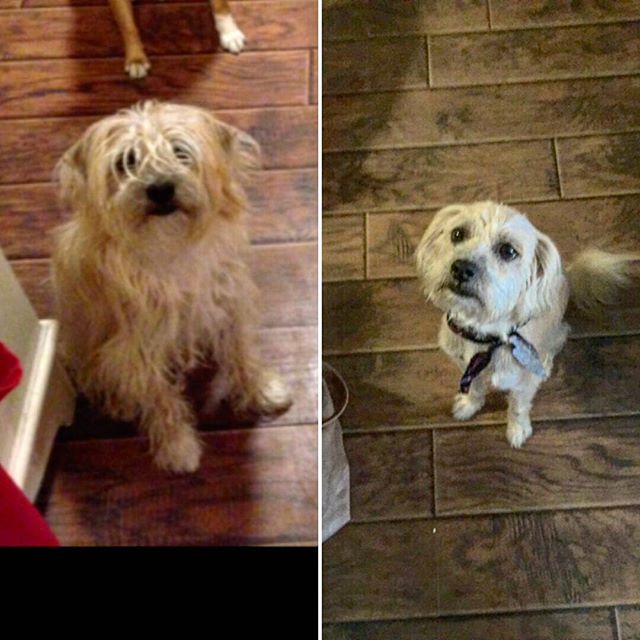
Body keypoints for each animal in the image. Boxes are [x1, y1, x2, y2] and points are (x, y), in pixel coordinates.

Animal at [52, 100, 292, 470]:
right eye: (127, 161)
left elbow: (242, 355)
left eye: (180, 152)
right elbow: (160, 399)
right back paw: (120, 403)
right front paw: (178, 446)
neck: (171, 249)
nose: (161, 188)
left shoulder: (229, 306)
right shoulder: (141, 344)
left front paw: (262, 391)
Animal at [418, 202, 636, 448]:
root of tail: (566, 277)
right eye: (457, 234)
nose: (461, 268)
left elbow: (518, 407)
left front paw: (517, 430)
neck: (485, 335)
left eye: (508, 251)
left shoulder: (524, 383)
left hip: (557, 335)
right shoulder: (463, 365)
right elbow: (474, 387)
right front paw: (468, 405)